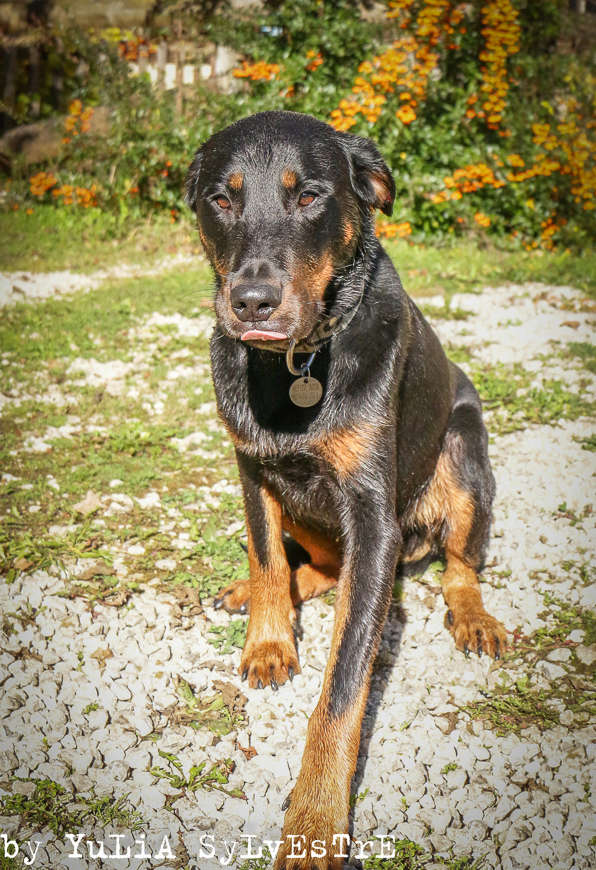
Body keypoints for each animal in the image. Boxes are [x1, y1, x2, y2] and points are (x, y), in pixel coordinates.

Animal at [184, 110, 506, 870]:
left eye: (308, 197)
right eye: (221, 200)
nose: (252, 301)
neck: (298, 363)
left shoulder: (373, 517)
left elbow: (343, 688)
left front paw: (312, 825)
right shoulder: (251, 467)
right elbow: (267, 557)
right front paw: (269, 639)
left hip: (463, 451)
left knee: (458, 563)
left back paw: (472, 613)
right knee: (317, 565)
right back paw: (251, 594)